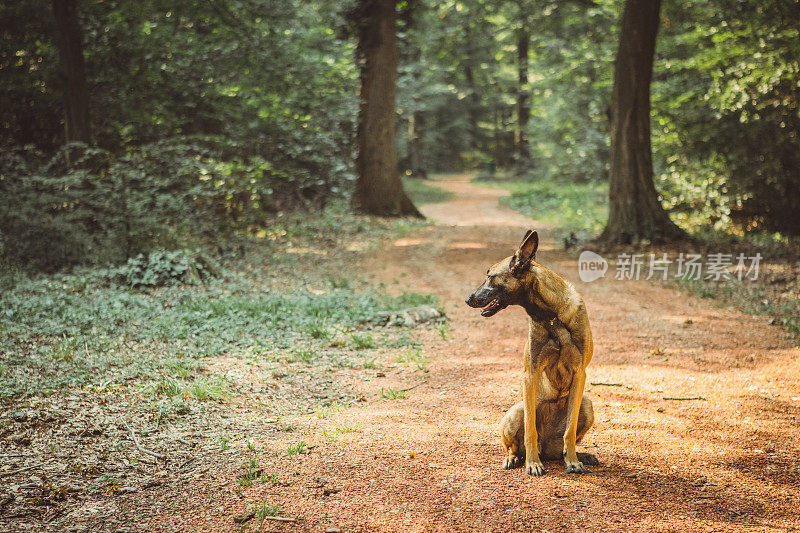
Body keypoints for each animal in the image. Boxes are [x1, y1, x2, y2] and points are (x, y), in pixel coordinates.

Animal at [466, 229, 596, 474]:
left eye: (490, 277)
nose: (467, 299)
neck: (553, 316)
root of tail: (548, 451)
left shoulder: (579, 373)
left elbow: (570, 430)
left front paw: (573, 460)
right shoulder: (531, 373)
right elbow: (530, 431)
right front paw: (533, 463)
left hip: (587, 405)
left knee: (567, 439)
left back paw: (579, 455)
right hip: (515, 412)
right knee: (516, 445)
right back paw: (517, 458)